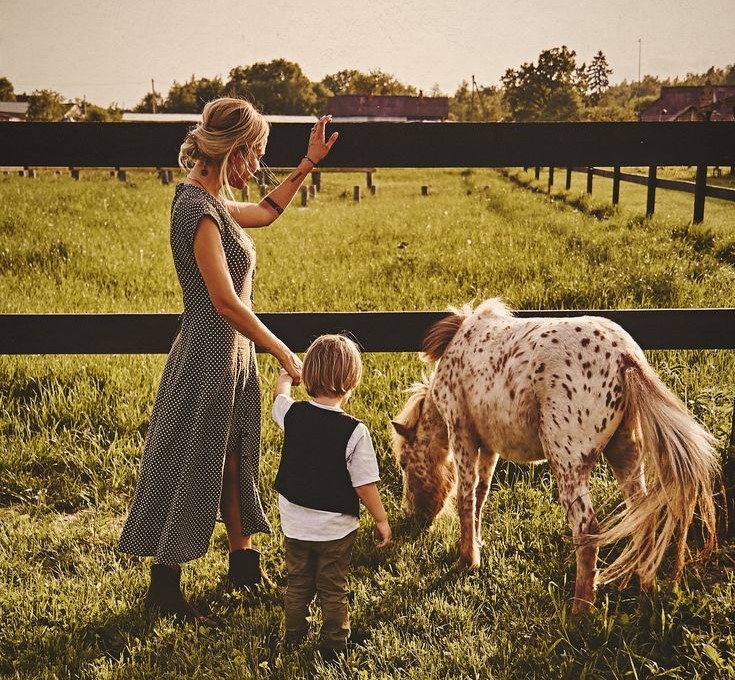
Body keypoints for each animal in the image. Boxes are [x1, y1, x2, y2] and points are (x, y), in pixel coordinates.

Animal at [392, 298, 720, 612]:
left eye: (404, 462)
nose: (413, 515)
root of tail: (625, 357)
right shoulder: (489, 446)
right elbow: (481, 494)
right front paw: (477, 543)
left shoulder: (462, 434)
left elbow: (466, 496)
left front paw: (467, 558)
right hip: (626, 453)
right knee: (643, 518)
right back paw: (645, 590)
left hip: (568, 464)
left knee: (587, 529)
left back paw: (580, 610)